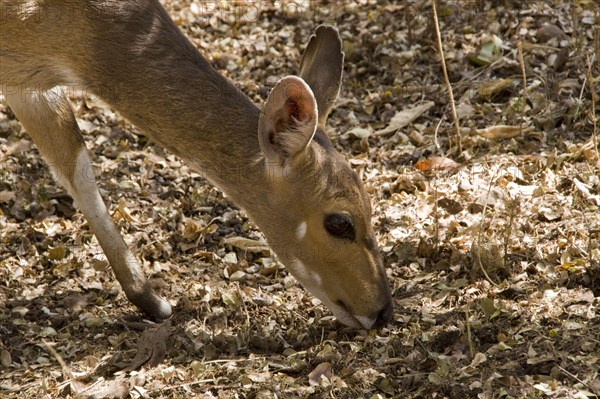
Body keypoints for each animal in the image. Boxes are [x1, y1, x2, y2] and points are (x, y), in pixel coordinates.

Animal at [0, 0, 394, 332]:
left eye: (371, 204)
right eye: (339, 222)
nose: (382, 312)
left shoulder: (27, 84)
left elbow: (75, 164)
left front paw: (153, 301)